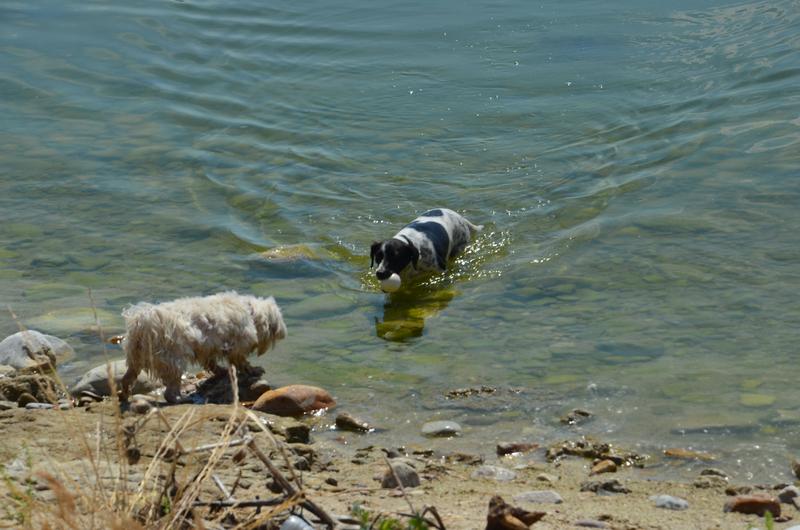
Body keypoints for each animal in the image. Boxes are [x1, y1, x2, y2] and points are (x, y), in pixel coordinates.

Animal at [120, 288, 286, 400]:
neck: (250, 311)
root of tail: (143, 322)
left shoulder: (208, 348)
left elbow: (211, 363)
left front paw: (221, 371)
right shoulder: (237, 346)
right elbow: (241, 361)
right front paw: (253, 370)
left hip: (136, 358)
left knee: (127, 378)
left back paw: (125, 394)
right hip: (173, 359)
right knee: (170, 390)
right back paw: (178, 399)